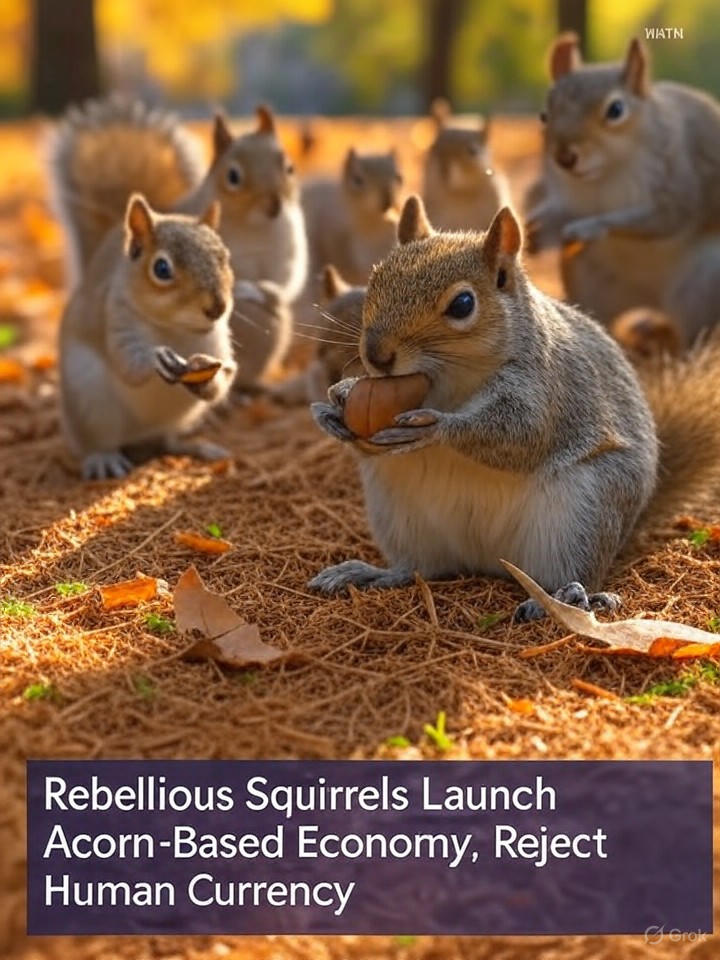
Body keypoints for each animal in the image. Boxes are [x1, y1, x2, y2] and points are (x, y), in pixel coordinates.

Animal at [51, 97, 302, 385]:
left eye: (290, 168)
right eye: (233, 176)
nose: (274, 205)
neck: (259, 227)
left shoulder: (290, 246)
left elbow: (287, 283)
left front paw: (260, 290)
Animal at [59, 193, 236, 480]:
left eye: (225, 257)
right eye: (161, 268)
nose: (217, 308)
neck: (175, 328)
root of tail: (141, 434)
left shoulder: (219, 345)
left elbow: (226, 375)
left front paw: (204, 375)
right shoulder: (117, 317)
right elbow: (128, 366)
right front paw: (156, 360)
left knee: (168, 440)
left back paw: (197, 446)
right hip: (89, 403)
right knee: (97, 441)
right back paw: (103, 458)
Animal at [309, 195, 720, 621]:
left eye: (462, 304)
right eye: (374, 281)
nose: (375, 356)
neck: (449, 380)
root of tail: (490, 561)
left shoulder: (546, 385)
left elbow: (521, 435)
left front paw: (434, 427)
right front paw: (334, 408)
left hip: (584, 513)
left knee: (575, 570)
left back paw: (569, 595)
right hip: (402, 517)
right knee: (422, 567)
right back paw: (371, 573)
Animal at [524, 34, 720, 338]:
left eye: (616, 110)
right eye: (544, 115)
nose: (564, 158)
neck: (607, 173)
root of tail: (649, 300)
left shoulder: (680, 180)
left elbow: (663, 219)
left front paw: (589, 226)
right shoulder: (565, 193)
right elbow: (560, 209)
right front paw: (539, 229)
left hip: (701, 289)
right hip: (590, 282)